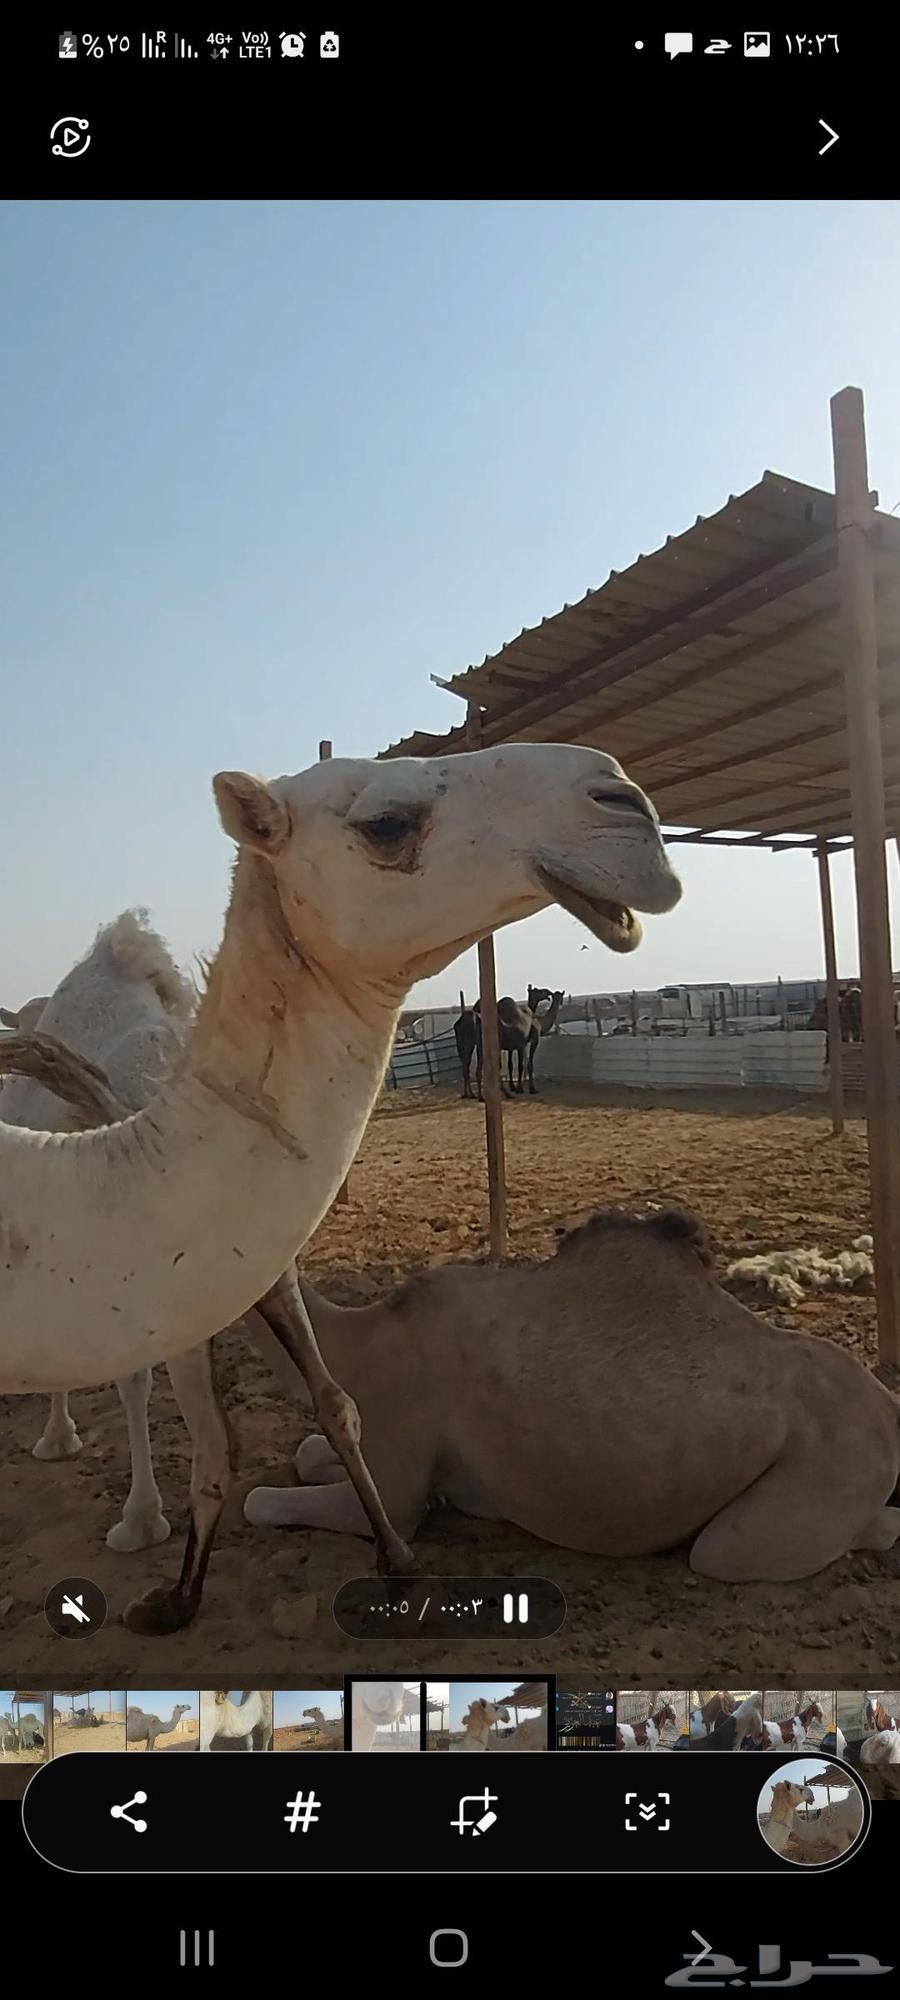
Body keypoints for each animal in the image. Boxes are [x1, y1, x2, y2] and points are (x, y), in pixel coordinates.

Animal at [0, 743, 679, 1629]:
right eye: (386, 823)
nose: (626, 801)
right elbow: (184, 1408)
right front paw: (163, 1568)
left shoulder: (243, 1265)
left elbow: (324, 1402)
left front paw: (395, 1563)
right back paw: (75, 1457)